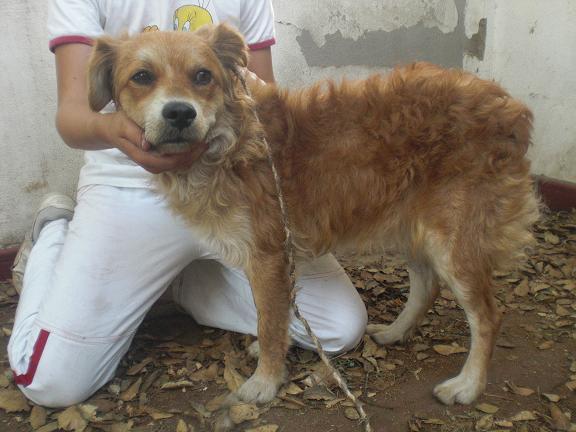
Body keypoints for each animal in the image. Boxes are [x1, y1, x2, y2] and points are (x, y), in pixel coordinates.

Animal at [86, 23, 540, 406]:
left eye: (202, 76)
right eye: (141, 77)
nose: (180, 112)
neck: (230, 143)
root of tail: (509, 106)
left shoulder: (268, 255)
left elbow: (269, 320)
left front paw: (265, 381)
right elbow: (269, 314)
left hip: (453, 241)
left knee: (488, 316)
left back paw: (468, 386)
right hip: (413, 223)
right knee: (426, 286)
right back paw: (394, 333)